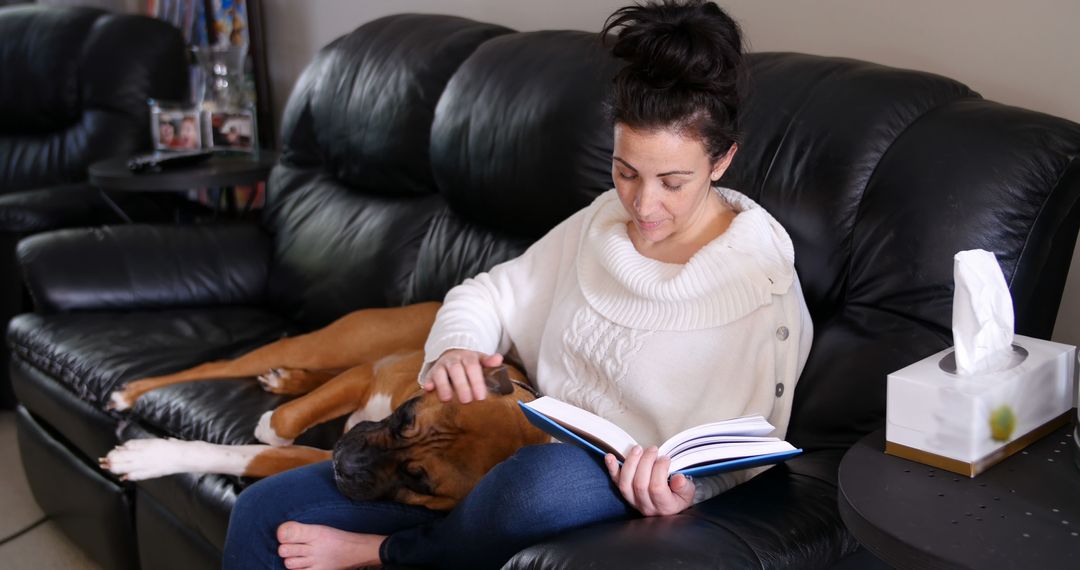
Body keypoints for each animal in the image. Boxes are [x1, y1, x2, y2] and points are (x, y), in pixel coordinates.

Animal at [99, 304, 548, 509]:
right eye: (406, 418)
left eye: (419, 481)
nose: (347, 463)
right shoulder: (366, 376)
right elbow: (284, 419)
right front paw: (268, 426)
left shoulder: (314, 459)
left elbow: (241, 455)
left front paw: (147, 457)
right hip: (324, 346)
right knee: (216, 366)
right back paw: (130, 392)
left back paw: (288, 380)